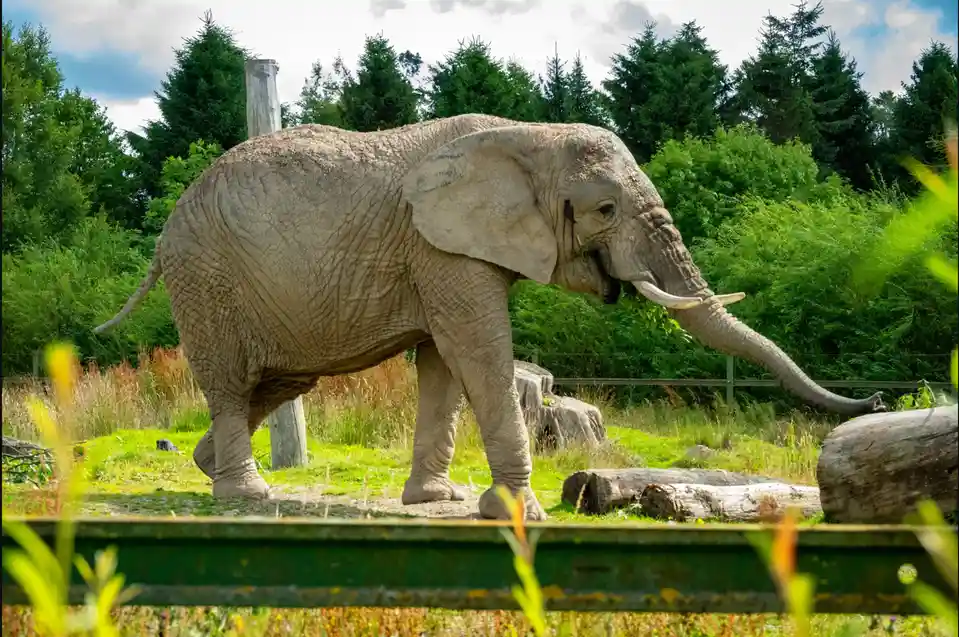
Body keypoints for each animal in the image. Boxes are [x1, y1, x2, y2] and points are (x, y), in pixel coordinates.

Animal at [94, 114, 884, 520]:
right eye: (604, 209)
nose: (877, 398)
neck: (528, 134)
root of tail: (163, 237)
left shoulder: (444, 251)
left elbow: (445, 364)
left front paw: (437, 499)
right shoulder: (441, 246)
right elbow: (477, 348)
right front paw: (516, 514)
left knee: (281, 380)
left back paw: (208, 468)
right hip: (207, 278)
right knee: (234, 380)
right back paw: (247, 495)